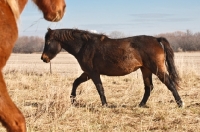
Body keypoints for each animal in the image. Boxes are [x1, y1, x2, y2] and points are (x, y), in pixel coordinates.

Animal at [41, 27, 184, 108]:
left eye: (48, 42)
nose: (43, 58)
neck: (84, 46)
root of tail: (156, 39)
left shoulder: (93, 73)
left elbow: (100, 88)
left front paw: (105, 105)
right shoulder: (87, 73)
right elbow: (76, 82)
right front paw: (73, 100)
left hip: (157, 69)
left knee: (169, 83)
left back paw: (180, 104)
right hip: (146, 70)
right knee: (149, 88)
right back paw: (141, 105)